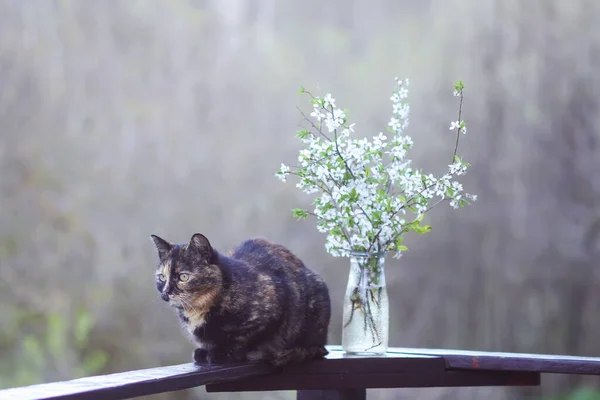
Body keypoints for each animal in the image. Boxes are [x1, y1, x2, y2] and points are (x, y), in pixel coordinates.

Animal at [148, 233, 330, 368]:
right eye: (162, 277)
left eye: (183, 277)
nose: (166, 293)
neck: (198, 309)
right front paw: (204, 351)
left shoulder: (274, 309)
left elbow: (246, 338)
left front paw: (223, 353)